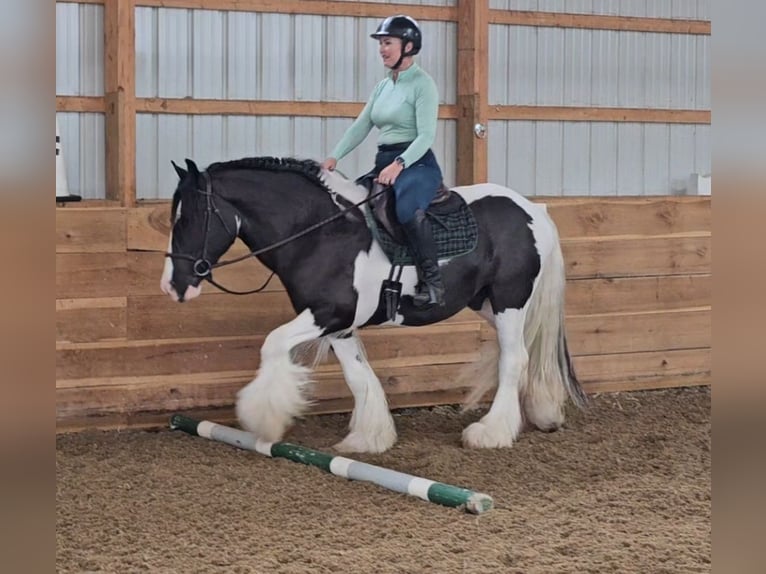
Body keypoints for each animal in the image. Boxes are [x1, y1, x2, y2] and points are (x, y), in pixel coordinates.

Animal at [159, 156, 584, 454]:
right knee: (525, 352)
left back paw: (490, 432)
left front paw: (264, 418)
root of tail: (533, 210)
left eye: (189, 219)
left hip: (510, 300)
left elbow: (273, 344)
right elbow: (358, 376)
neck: (322, 231)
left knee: (514, 359)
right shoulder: (341, 325)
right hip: (489, 305)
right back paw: (542, 414)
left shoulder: (328, 314)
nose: (172, 286)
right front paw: (369, 437)